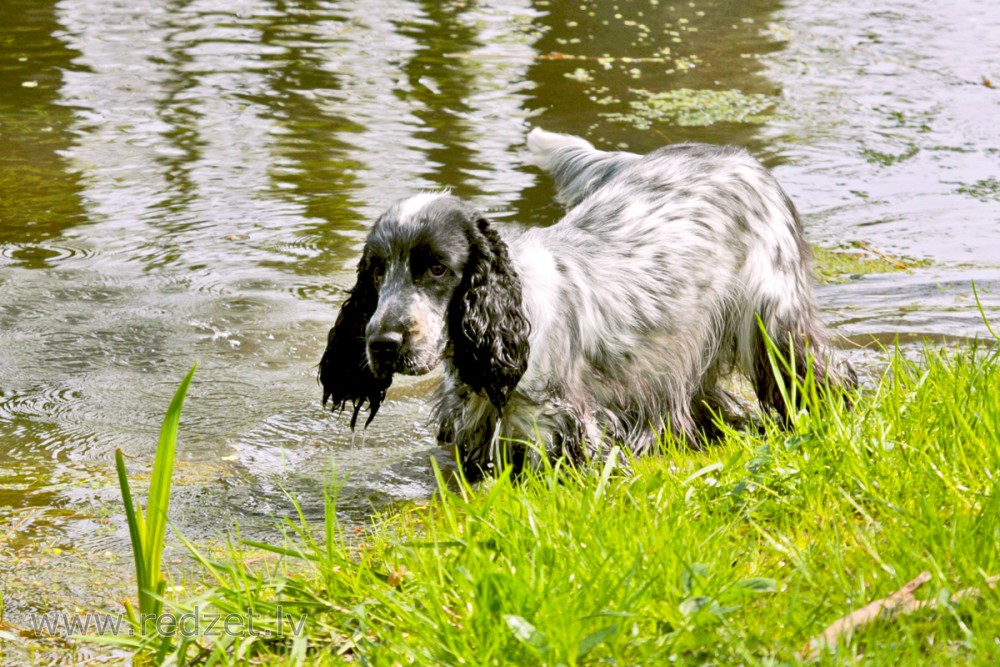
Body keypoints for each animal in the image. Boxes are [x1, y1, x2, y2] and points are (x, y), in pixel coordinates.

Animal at [318, 129, 852, 474]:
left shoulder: (557, 428)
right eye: (377, 270)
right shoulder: (474, 430)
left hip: (776, 321)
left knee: (824, 373)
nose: (383, 343)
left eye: (437, 268)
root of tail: (736, 155)